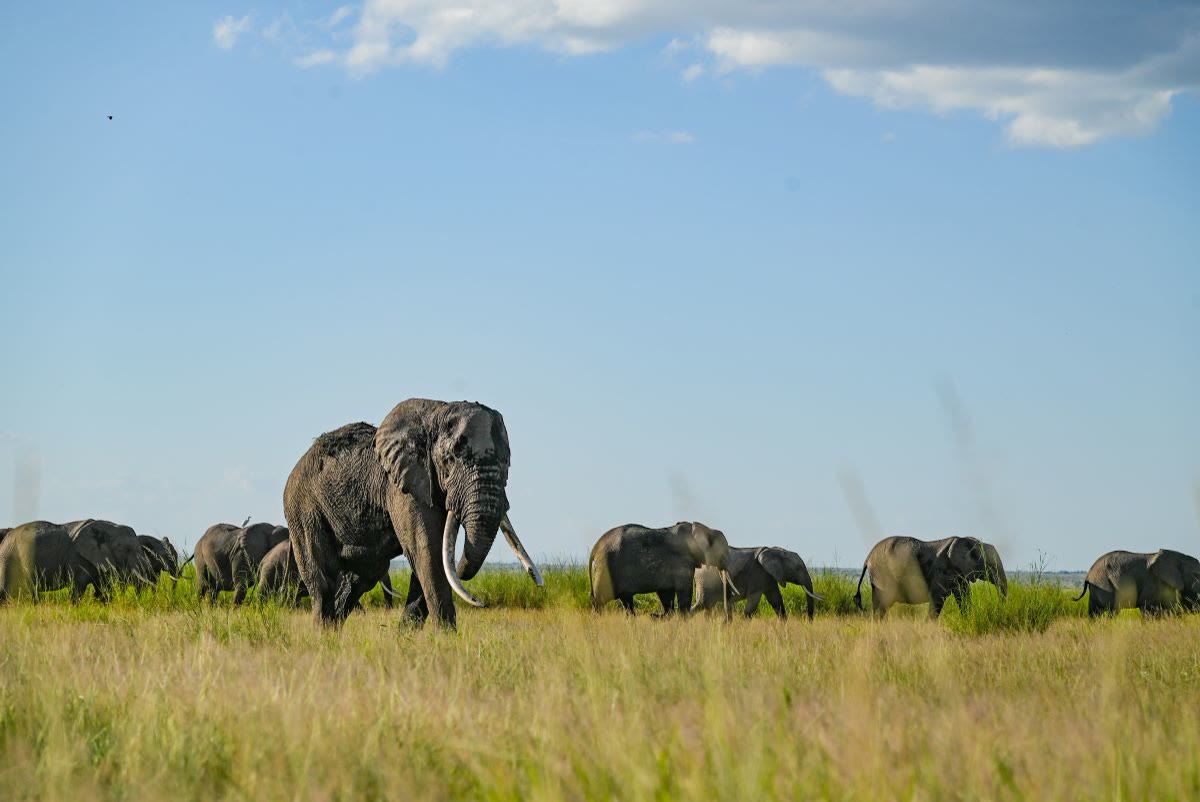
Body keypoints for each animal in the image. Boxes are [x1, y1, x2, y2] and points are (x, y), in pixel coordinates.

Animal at [0, 519, 155, 602]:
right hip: (8, 559)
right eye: (127, 550)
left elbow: (103, 589)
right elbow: (77, 588)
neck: (109, 528)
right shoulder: (76, 557)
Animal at [283, 399, 542, 629]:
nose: (481, 601)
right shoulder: (402, 487)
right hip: (304, 508)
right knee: (323, 581)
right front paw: (445, 640)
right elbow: (428, 552)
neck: (437, 411)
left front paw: (406, 639)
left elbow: (431, 556)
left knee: (362, 578)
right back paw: (323, 637)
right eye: (451, 459)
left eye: (506, 461)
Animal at [589, 521, 739, 618]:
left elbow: (666, 592)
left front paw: (660, 616)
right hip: (605, 568)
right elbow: (684, 591)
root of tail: (595, 548)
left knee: (626, 601)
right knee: (600, 600)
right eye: (723, 551)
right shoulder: (682, 561)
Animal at [693, 546, 823, 620]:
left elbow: (776, 600)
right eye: (797, 569)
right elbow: (753, 601)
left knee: (706, 606)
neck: (777, 551)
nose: (808, 620)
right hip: (706, 581)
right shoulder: (758, 574)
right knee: (702, 604)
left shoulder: (769, 576)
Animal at [854, 535, 1006, 618]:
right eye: (991, 566)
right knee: (882, 604)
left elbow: (964, 597)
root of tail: (867, 559)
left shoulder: (958, 574)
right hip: (882, 575)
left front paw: (967, 618)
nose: (999, 607)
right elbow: (937, 598)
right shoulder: (943, 571)